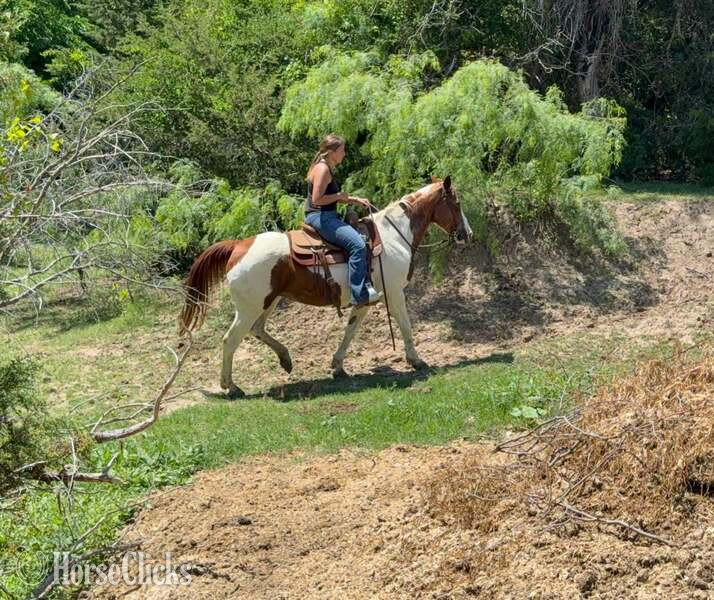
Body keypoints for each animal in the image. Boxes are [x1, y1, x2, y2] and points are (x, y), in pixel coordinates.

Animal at [178, 176, 473, 398]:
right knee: (231, 340)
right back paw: (232, 387)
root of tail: (238, 246)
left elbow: (350, 332)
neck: (393, 236)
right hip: (250, 307)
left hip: (269, 301)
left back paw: (285, 359)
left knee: (257, 329)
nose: (467, 234)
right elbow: (406, 327)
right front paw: (417, 361)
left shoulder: (364, 299)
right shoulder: (395, 293)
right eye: (456, 203)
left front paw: (338, 366)